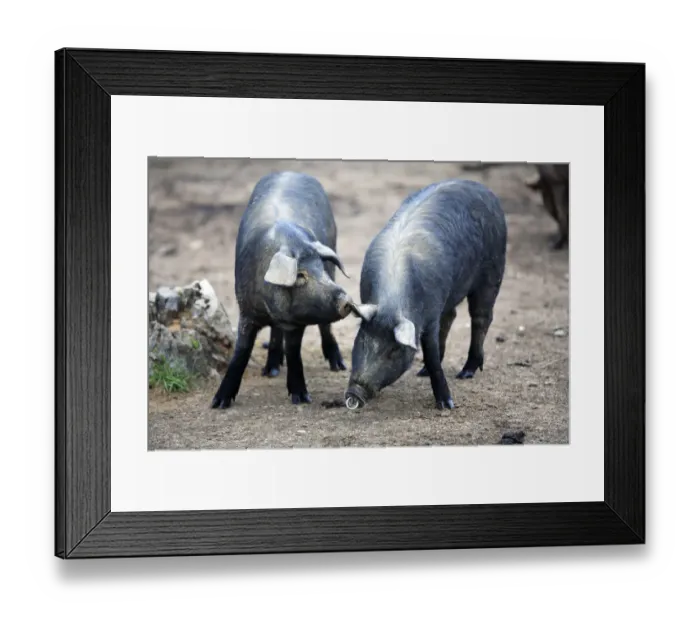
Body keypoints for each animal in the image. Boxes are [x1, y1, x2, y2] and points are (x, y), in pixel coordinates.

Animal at [210, 171, 354, 409]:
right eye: (300, 275)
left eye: (320, 267)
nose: (346, 300)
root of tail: (292, 172)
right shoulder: (245, 309)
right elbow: (241, 350)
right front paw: (218, 403)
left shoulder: (297, 321)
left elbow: (294, 351)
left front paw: (302, 399)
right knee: (276, 333)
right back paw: (271, 369)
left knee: (324, 327)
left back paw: (338, 366)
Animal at [344, 179, 507, 411]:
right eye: (362, 339)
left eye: (393, 350)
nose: (354, 393)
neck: (391, 304)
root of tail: (483, 188)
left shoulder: (429, 317)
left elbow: (431, 355)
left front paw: (447, 405)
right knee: (450, 317)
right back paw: (422, 373)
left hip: (493, 270)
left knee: (481, 318)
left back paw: (465, 373)